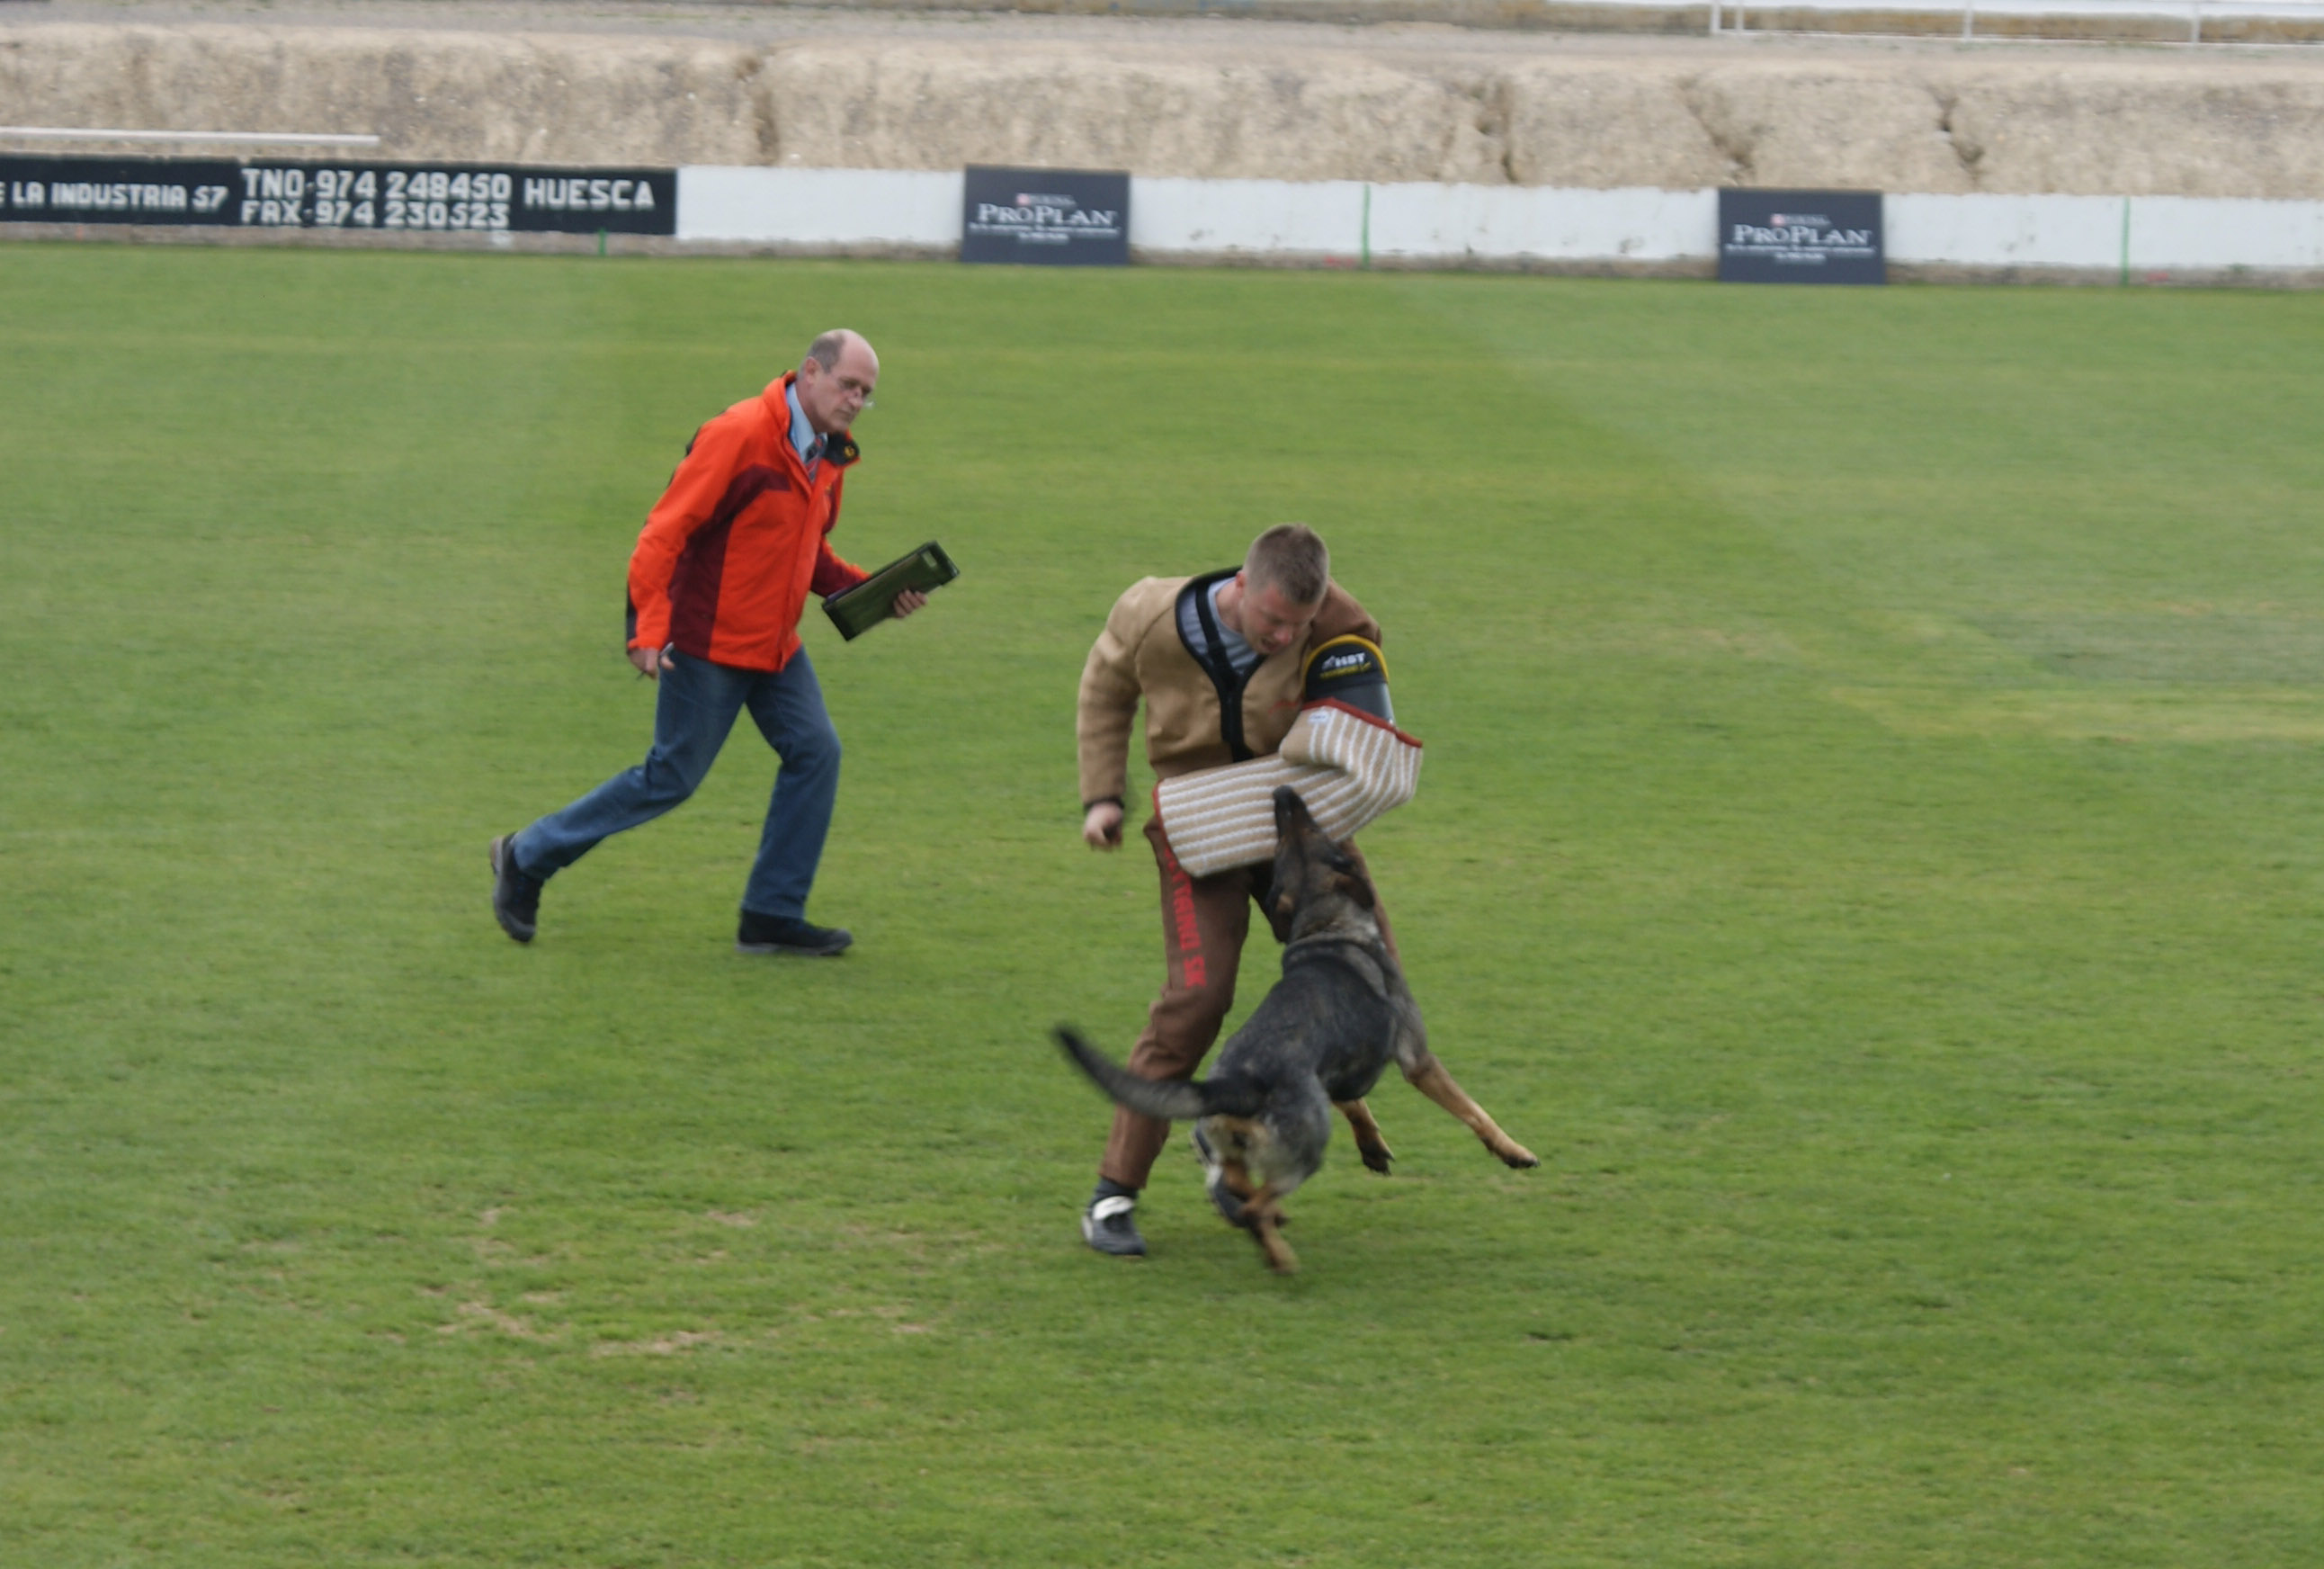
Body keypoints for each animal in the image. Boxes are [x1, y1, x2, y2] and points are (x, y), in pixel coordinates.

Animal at [1056, 785, 1538, 1273]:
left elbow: (1355, 1104)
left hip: (1238, 1142)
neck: (1325, 924)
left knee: (1237, 1184)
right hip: (1305, 1153)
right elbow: (1473, 1111)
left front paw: (1372, 1146)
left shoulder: (1338, 1072)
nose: (1283, 791)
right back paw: (1279, 1255)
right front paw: (1514, 1151)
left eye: (1288, 842)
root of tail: (1238, 1084)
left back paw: (1262, 1219)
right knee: (1256, 1205)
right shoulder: (1417, 1059)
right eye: (1318, 833)